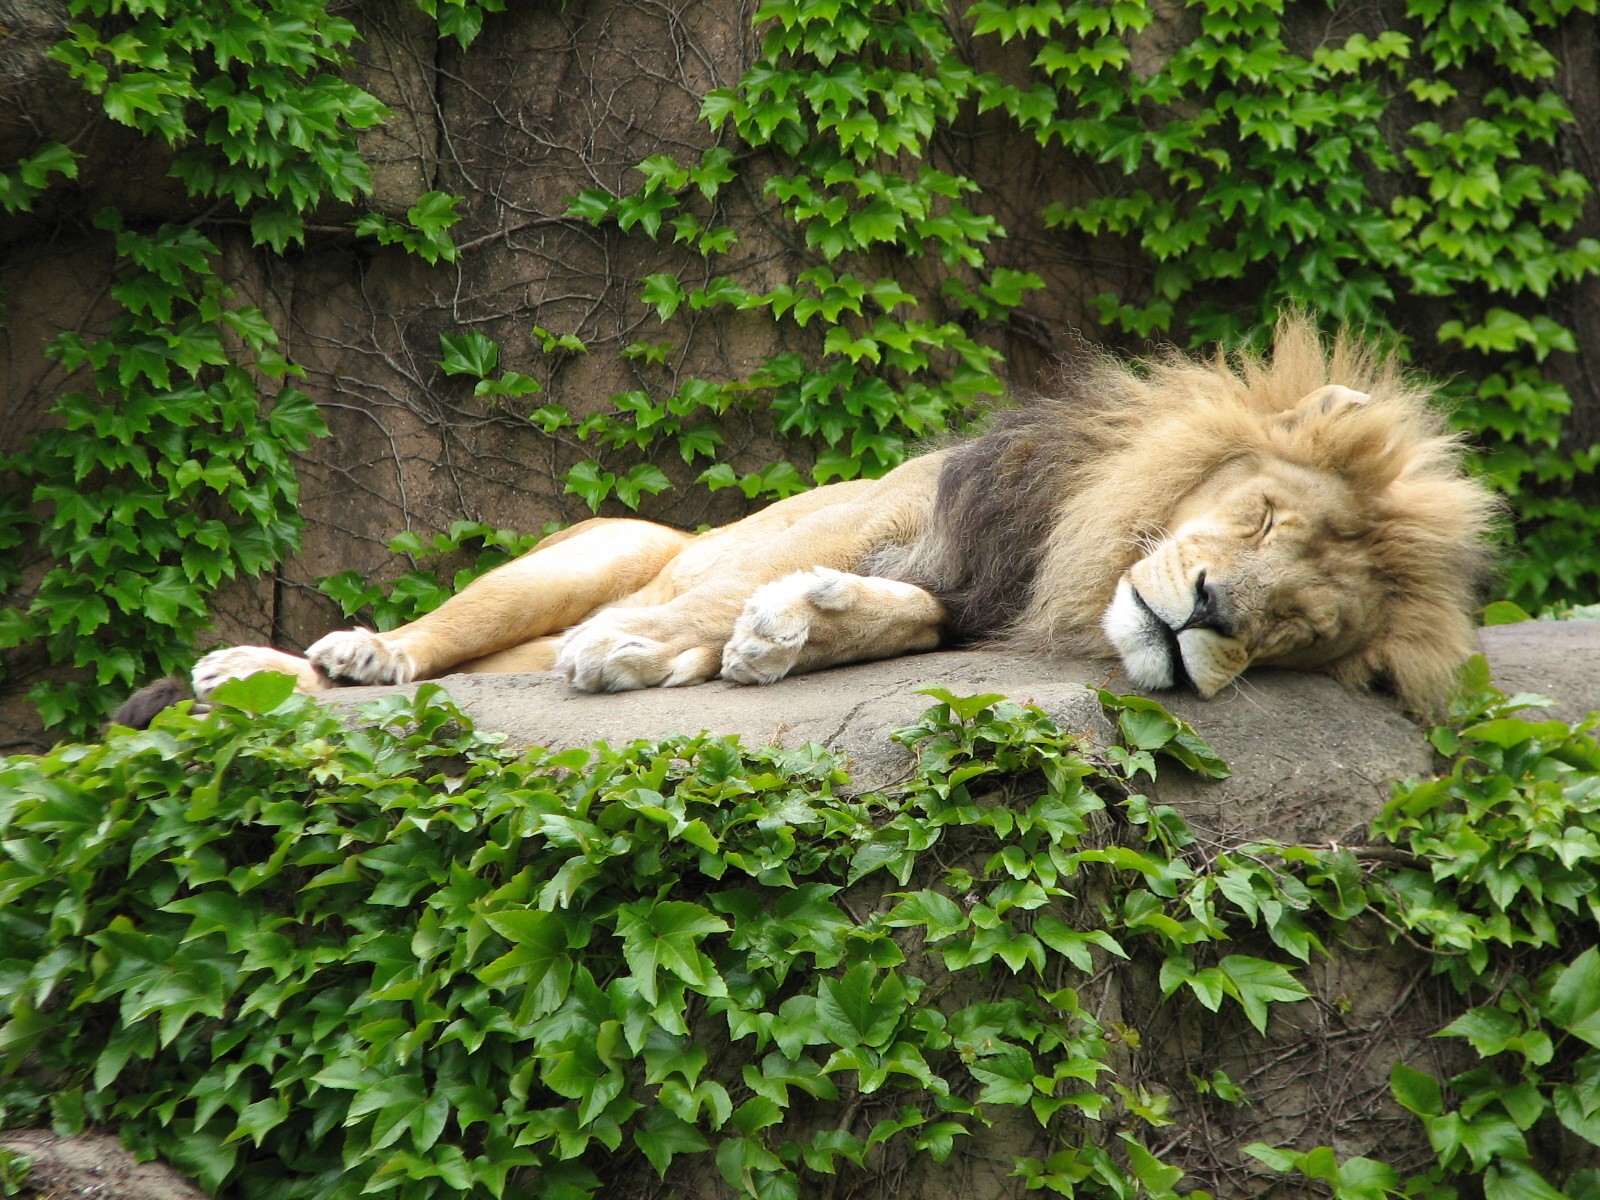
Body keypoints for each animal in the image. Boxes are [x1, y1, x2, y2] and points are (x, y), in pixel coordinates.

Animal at [116, 315, 1498, 727]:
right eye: (1259, 517)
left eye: (1293, 635)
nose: (1205, 616)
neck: (1074, 550)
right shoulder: (895, 503)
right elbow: (751, 575)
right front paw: (652, 645)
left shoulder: (964, 596)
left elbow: (895, 617)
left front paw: (785, 637)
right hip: (610, 538)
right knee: (433, 642)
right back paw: (302, 661)